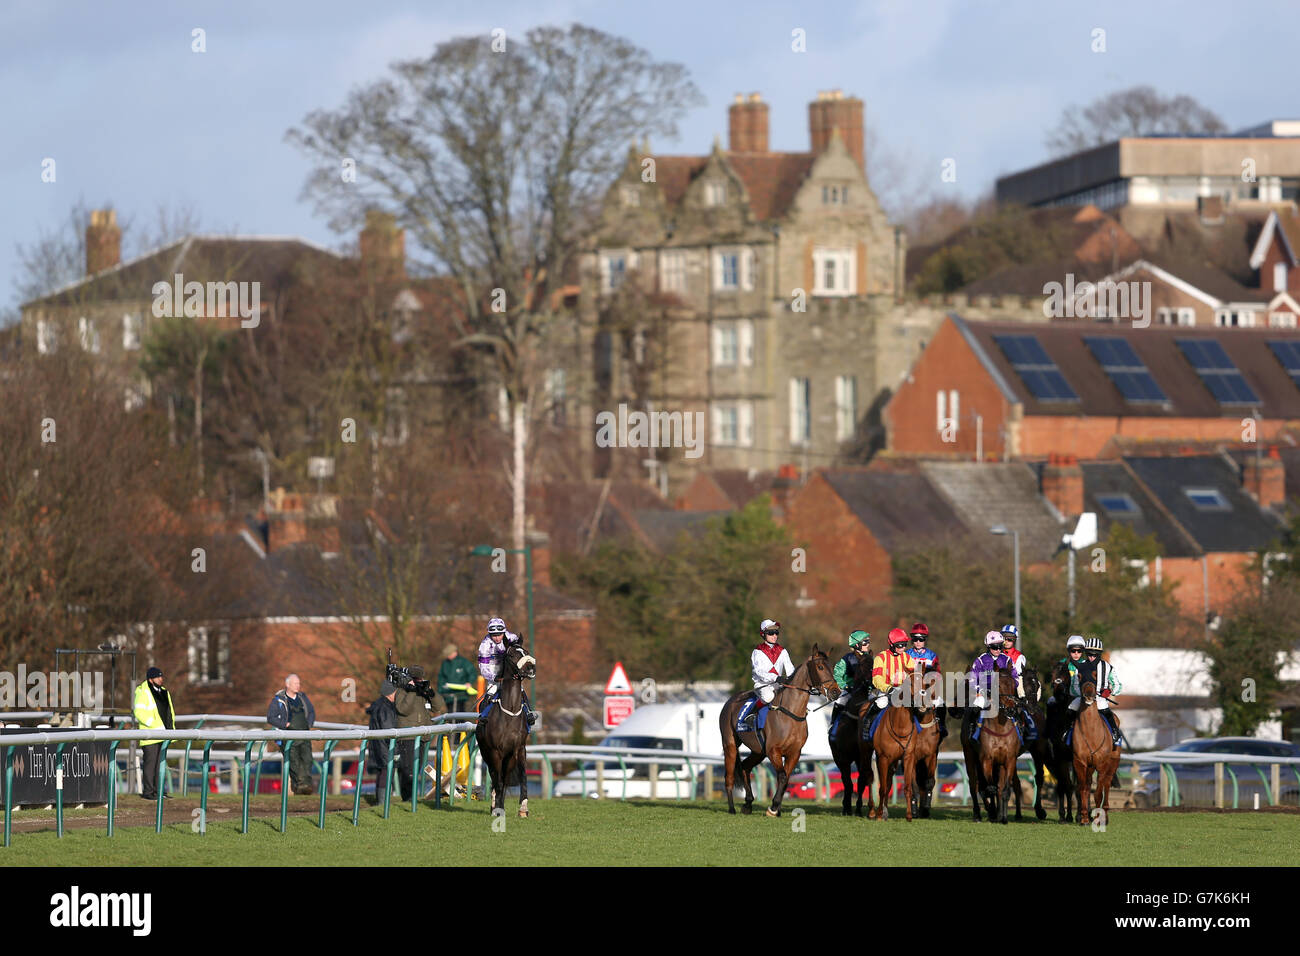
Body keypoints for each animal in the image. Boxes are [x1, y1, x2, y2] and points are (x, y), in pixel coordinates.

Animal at [475, 647, 535, 816]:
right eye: (512, 654)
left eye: (526, 651)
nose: (531, 668)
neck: (511, 711)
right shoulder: (495, 751)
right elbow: (498, 780)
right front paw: (498, 807)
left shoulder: (516, 749)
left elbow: (517, 777)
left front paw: (522, 808)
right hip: (486, 752)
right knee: (495, 776)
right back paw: (494, 804)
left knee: (507, 777)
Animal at [717, 647, 837, 816]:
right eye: (820, 667)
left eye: (831, 667)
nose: (836, 692)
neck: (790, 713)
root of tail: (730, 701)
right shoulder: (774, 751)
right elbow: (782, 776)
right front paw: (773, 808)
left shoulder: (794, 753)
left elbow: (785, 778)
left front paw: (776, 808)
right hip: (730, 745)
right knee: (729, 776)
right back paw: (732, 808)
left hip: (758, 752)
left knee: (746, 767)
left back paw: (748, 803)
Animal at [961, 671, 1019, 827]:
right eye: (997, 685)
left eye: (1014, 684)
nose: (1011, 709)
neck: (999, 728)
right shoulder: (985, 759)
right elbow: (989, 788)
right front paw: (992, 812)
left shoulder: (1009, 760)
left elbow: (1003, 790)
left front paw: (1002, 817)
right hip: (970, 756)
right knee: (974, 785)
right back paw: (978, 814)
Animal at [1071, 681, 1123, 832]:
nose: (1088, 694)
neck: (1091, 732)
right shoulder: (1079, 763)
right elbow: (1083, 789)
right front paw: (1084, 819)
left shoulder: (1102, 764)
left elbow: (1099, 792)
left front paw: (1097, 819)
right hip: (1090, 767)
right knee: (1088, 785)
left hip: (1113, 763)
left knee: (1106, 784)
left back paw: (1104, 815)